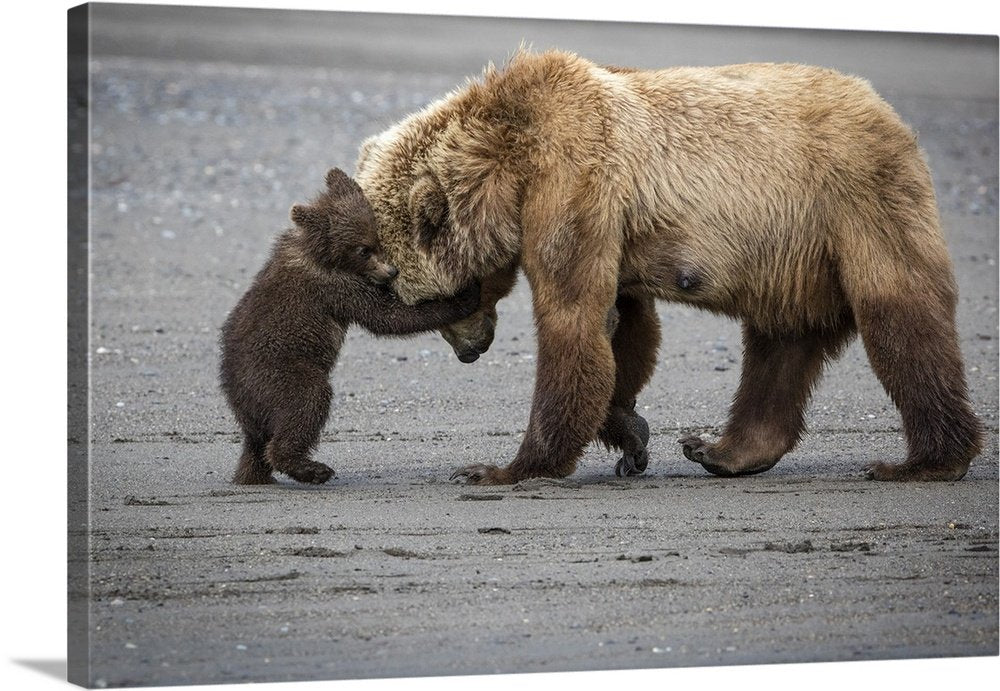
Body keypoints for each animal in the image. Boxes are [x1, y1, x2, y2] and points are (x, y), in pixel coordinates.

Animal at [219, 168, 480, 485]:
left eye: (377, 239)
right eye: (362, 250)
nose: (391, 271)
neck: (320, 254)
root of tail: (236, 396)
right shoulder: (335, 287)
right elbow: (387, 316)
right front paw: (464, 295)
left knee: (257, 445)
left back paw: (254, 475)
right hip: (276, 372)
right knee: (307, 400)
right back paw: (311, 468)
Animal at [353, 49, 983, 485]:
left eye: (426, 300)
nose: (469, 351)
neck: (510, 163)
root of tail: (889, 112)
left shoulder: (574, 182)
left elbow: (572, 322)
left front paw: (503, 468)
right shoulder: (609, 221)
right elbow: (623, 327)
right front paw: (631, 435)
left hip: (854, 201)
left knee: (900, 316)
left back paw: (926, 461)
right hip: (791, 257)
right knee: (779, 343)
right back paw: (722, 450)